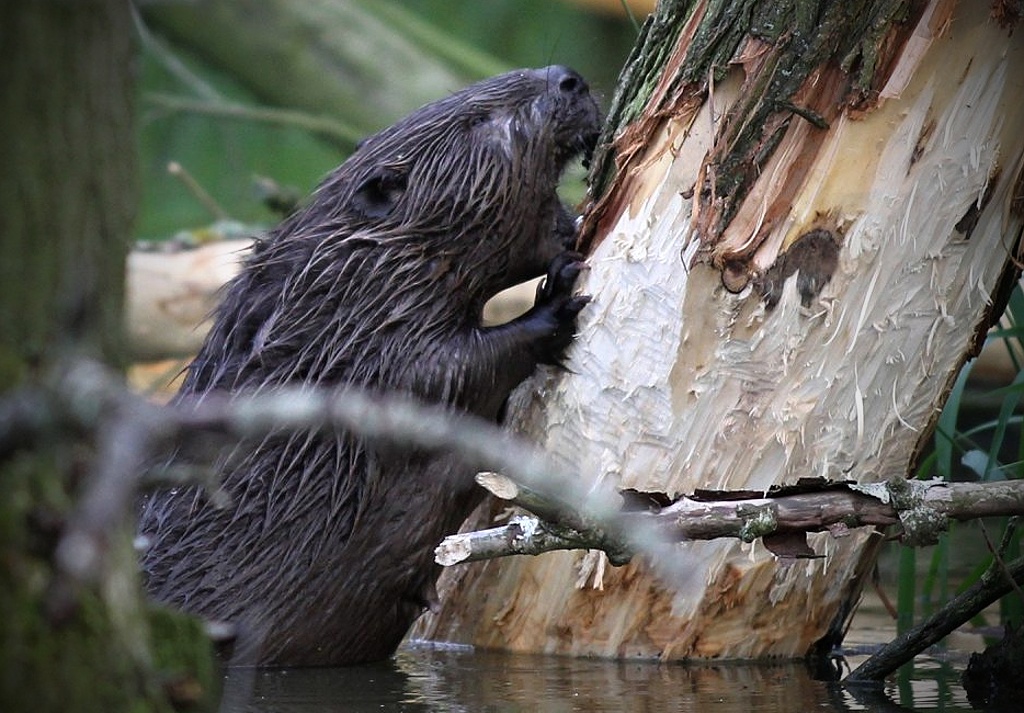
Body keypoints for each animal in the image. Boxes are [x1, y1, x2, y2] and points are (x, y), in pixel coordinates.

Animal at [137, 64, 598, 663]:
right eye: (480, 119)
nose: (570, 79)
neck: (350, 275)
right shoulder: (364, 354)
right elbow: (445, 372)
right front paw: (557, 299)